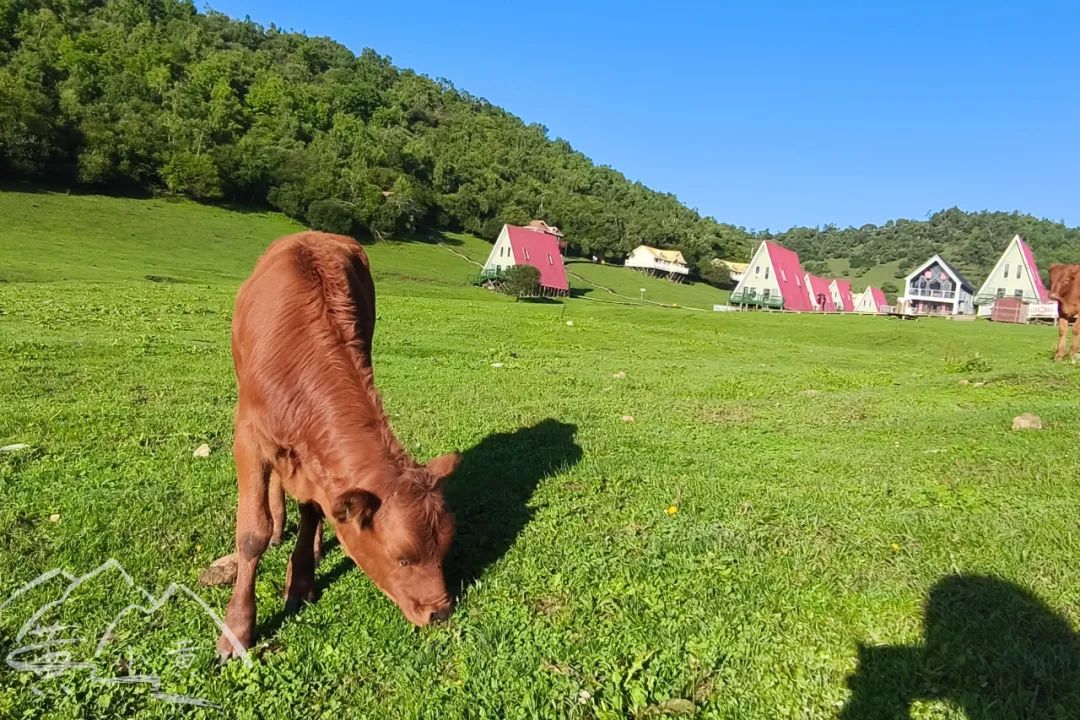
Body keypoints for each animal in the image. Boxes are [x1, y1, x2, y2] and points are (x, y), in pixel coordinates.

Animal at [217, 234, 457, 660]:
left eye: (444, 550)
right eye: (402, 559)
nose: (440, 613)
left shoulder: (316, 461)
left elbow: (315, 509)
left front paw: (301, 579)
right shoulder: (247, 436)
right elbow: (251, 534)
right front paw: (237, 628)